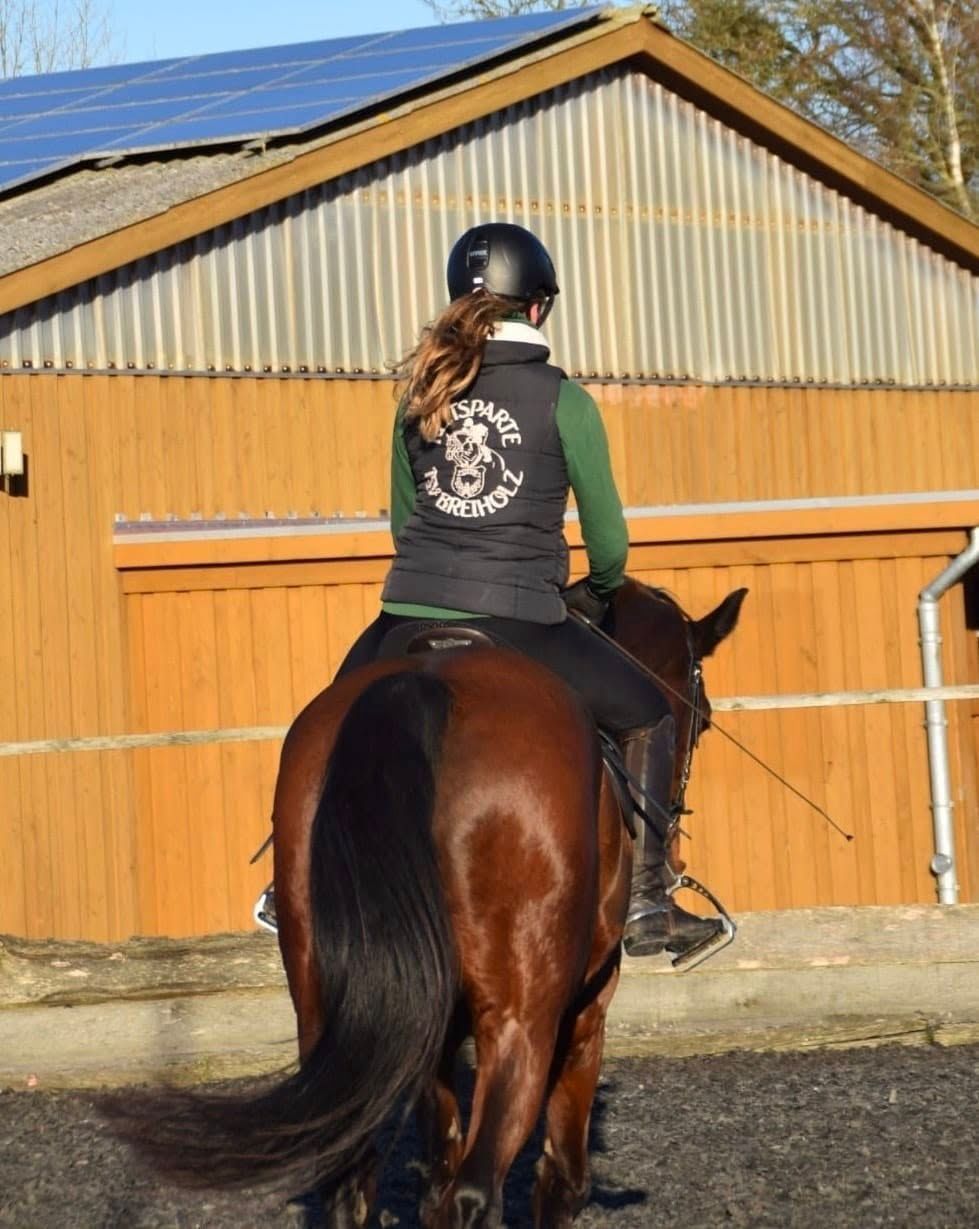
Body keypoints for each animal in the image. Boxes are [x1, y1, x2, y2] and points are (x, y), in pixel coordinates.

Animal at [112, 577, 746, 1229]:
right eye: (702, 721)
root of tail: (428, 680)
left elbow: (435, 1178)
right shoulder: (585, 1012)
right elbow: (560, 1179)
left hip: (329, 1006)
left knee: (354, 1185)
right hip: (523, 1023)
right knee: (476, 1189)